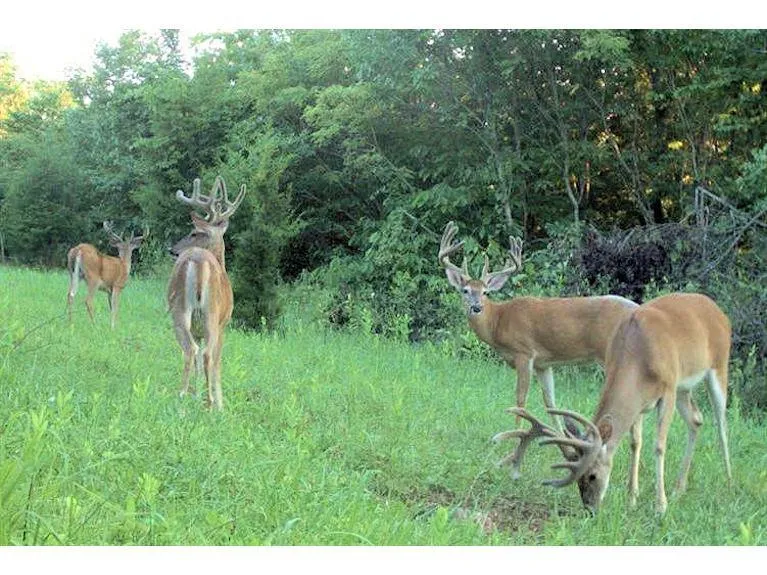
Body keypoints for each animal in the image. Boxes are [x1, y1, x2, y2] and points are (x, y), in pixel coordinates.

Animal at [166, 175, 246, 411]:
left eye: (194, 233)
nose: (172, 250)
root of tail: (198, 261)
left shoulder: (199, 329)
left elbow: (200, 367)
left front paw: (198, 394)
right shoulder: (224, 323)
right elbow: (217, 362)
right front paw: (220, 403)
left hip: (184, 311)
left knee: (194, 352)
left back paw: (187, 397)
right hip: (210, 313)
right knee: (203, 353)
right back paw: (202, 403)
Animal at [439, 221, 638, 476]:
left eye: (485, 292)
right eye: (465, 290)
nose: (476, 307)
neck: (498, 321)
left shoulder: (524, 353)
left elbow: (520, 399)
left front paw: (512, 441)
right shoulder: (544, 364)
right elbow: (551, 402)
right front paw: (565, 446)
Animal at [493, 292, 733, 515]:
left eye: (592, 475)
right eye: (578, 480)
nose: (590, 509)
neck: (638, 355)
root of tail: (717, 309)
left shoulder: (668, 388)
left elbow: (659, 446)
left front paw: (660, 507)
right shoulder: (639, 399)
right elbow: (635, 442)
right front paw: (632, 498)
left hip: (718, 366)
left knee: (721, 423)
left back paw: (728, 480)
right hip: (684, 388)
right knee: (696, 420)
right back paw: (678, 489)